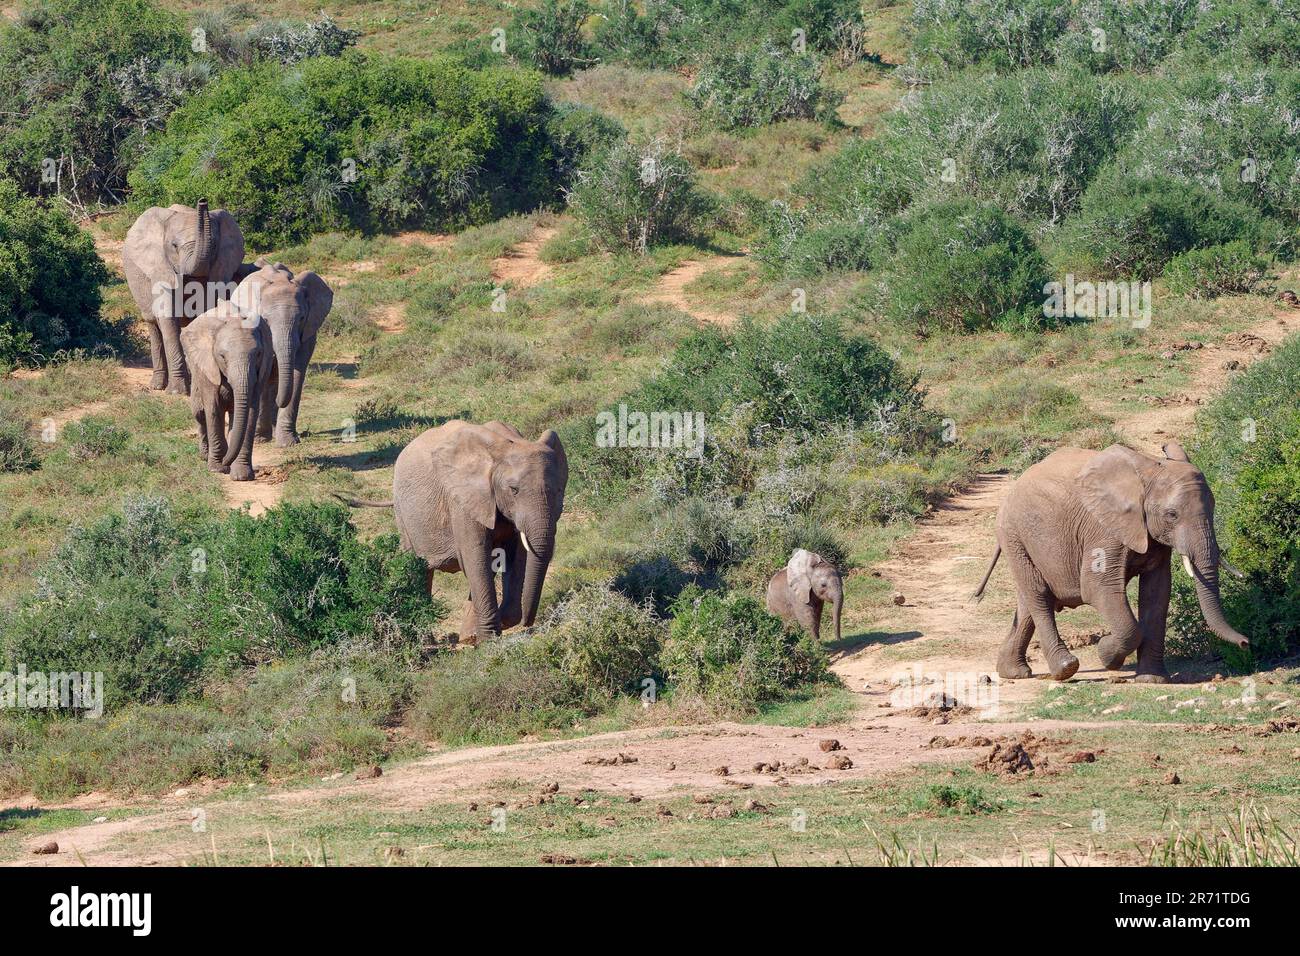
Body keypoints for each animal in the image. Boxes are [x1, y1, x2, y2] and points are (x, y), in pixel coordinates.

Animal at [122, 201, 245, 395]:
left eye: (214, 245)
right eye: (174, 246)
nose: (203, 201)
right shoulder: (160, 268)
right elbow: (167, 317)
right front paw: (177, 392)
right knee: (153, 324)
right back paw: (157, 386)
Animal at [178, 300, 271, 481]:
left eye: (258, 354)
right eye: (222, 356)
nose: (226, 461)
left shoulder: (261, 370)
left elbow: (250, 414)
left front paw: (242, 475)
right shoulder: (208, 366)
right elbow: (213, 409)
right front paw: (218, 468)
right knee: (199, 413)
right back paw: (204, 456)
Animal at [233, 260, 335, 450]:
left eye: (301, 318)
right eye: (265, 319)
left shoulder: (308, 330)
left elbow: (297, 372)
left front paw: (288, 442)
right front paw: (261, 438)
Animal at [340, 418, 569, 642]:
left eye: (559, 490)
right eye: (514, 490)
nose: (527, 624)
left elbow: (514, 557)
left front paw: (488, 629)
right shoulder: (462, 501)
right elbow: (476, 557)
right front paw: (488, 638)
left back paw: (466, 636)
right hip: (403, 515)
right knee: (417, 567)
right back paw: (427, 641)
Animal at [977, 444, 1248, 686]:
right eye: (1172, 515)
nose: (1245, 643)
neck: (1149, 472)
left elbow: (1157, 592)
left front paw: (1152, 680)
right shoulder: (1103, 530)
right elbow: (1097, 588)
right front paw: (1106, 653)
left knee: (1028, 601)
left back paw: (1013, 672)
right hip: (1014, 535)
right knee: (1039, 597)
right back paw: (1065, 668)